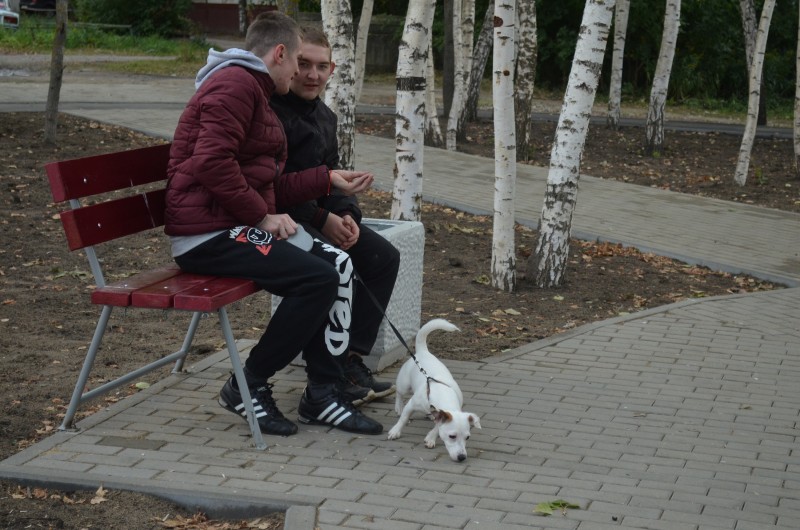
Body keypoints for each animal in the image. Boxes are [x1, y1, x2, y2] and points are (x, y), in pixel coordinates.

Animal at [387, 319, 481, 462]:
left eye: (467, 437)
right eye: (452, 436)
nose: (462, 457)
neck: (442, 393)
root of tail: (423, 351)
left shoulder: (441, 415)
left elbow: (437, 427)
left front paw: (431, 438)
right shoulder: (411, 405)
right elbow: (403, 418)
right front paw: (395, 431)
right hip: (404, 385)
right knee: (399, 393)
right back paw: (398, 407)